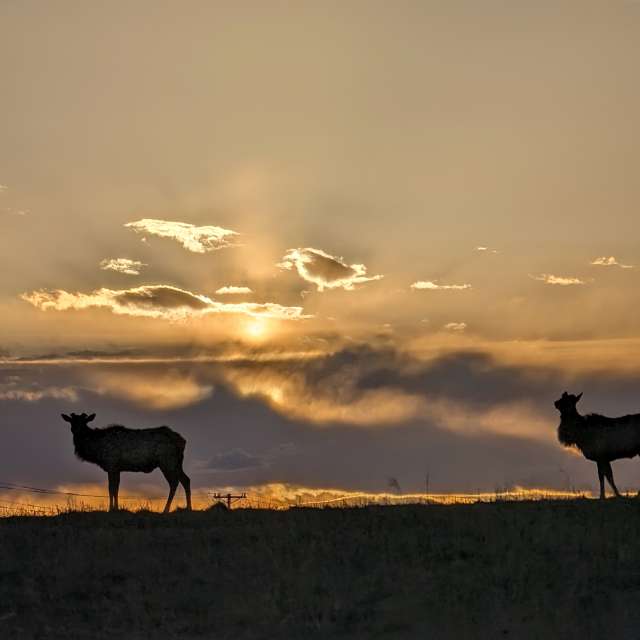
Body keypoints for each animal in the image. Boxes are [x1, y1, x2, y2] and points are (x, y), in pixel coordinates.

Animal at [61, 412, 191, 512]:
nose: (76, 430)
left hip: (167, 461)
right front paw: (116, 508)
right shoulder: (117, 468)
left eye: (84, 422)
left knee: (174, 482)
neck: (96, 450)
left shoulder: (111, 464)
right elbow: (116, 488)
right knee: (186, 480)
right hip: (177, 462)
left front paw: (111, 509)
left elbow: (111, 488)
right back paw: (188, 508)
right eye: (72, 421)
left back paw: (166, 509)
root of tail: (183, 441)